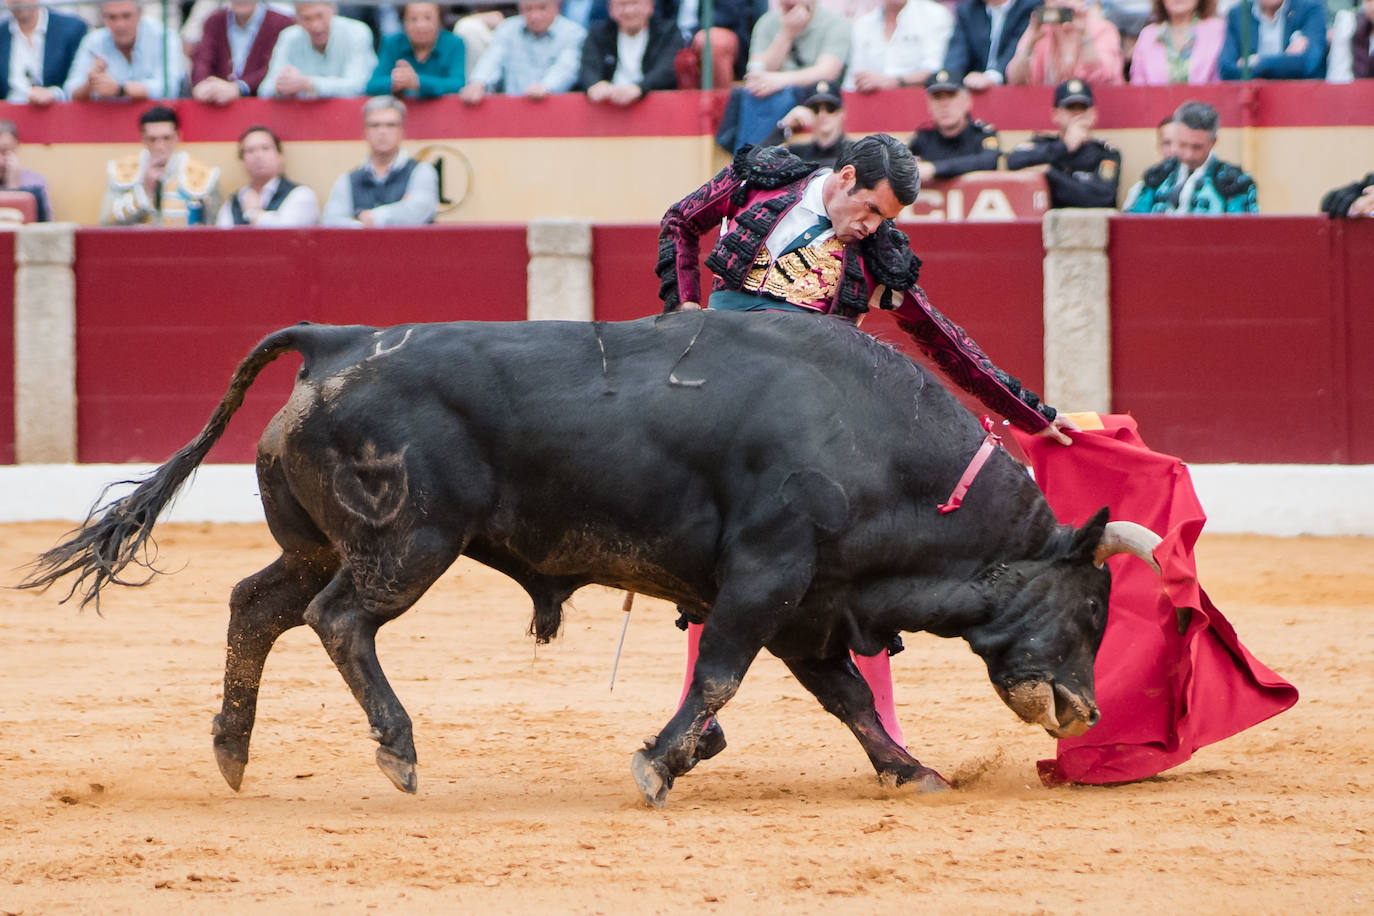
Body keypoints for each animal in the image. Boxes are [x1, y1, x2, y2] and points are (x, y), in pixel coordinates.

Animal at [21, 311, 1159, 807]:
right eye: (1090, 609)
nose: (1086, 710)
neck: (877, 447)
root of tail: (338, 341)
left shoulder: (808, 606)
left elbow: (844, 696)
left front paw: (910, 769)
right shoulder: (766, 580)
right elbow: (721, 673)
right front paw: (657, 763)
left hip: (313, 542)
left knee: (256, 605)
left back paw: (232, 751)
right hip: (407, 543)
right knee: (338, 620)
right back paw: (399, 751)